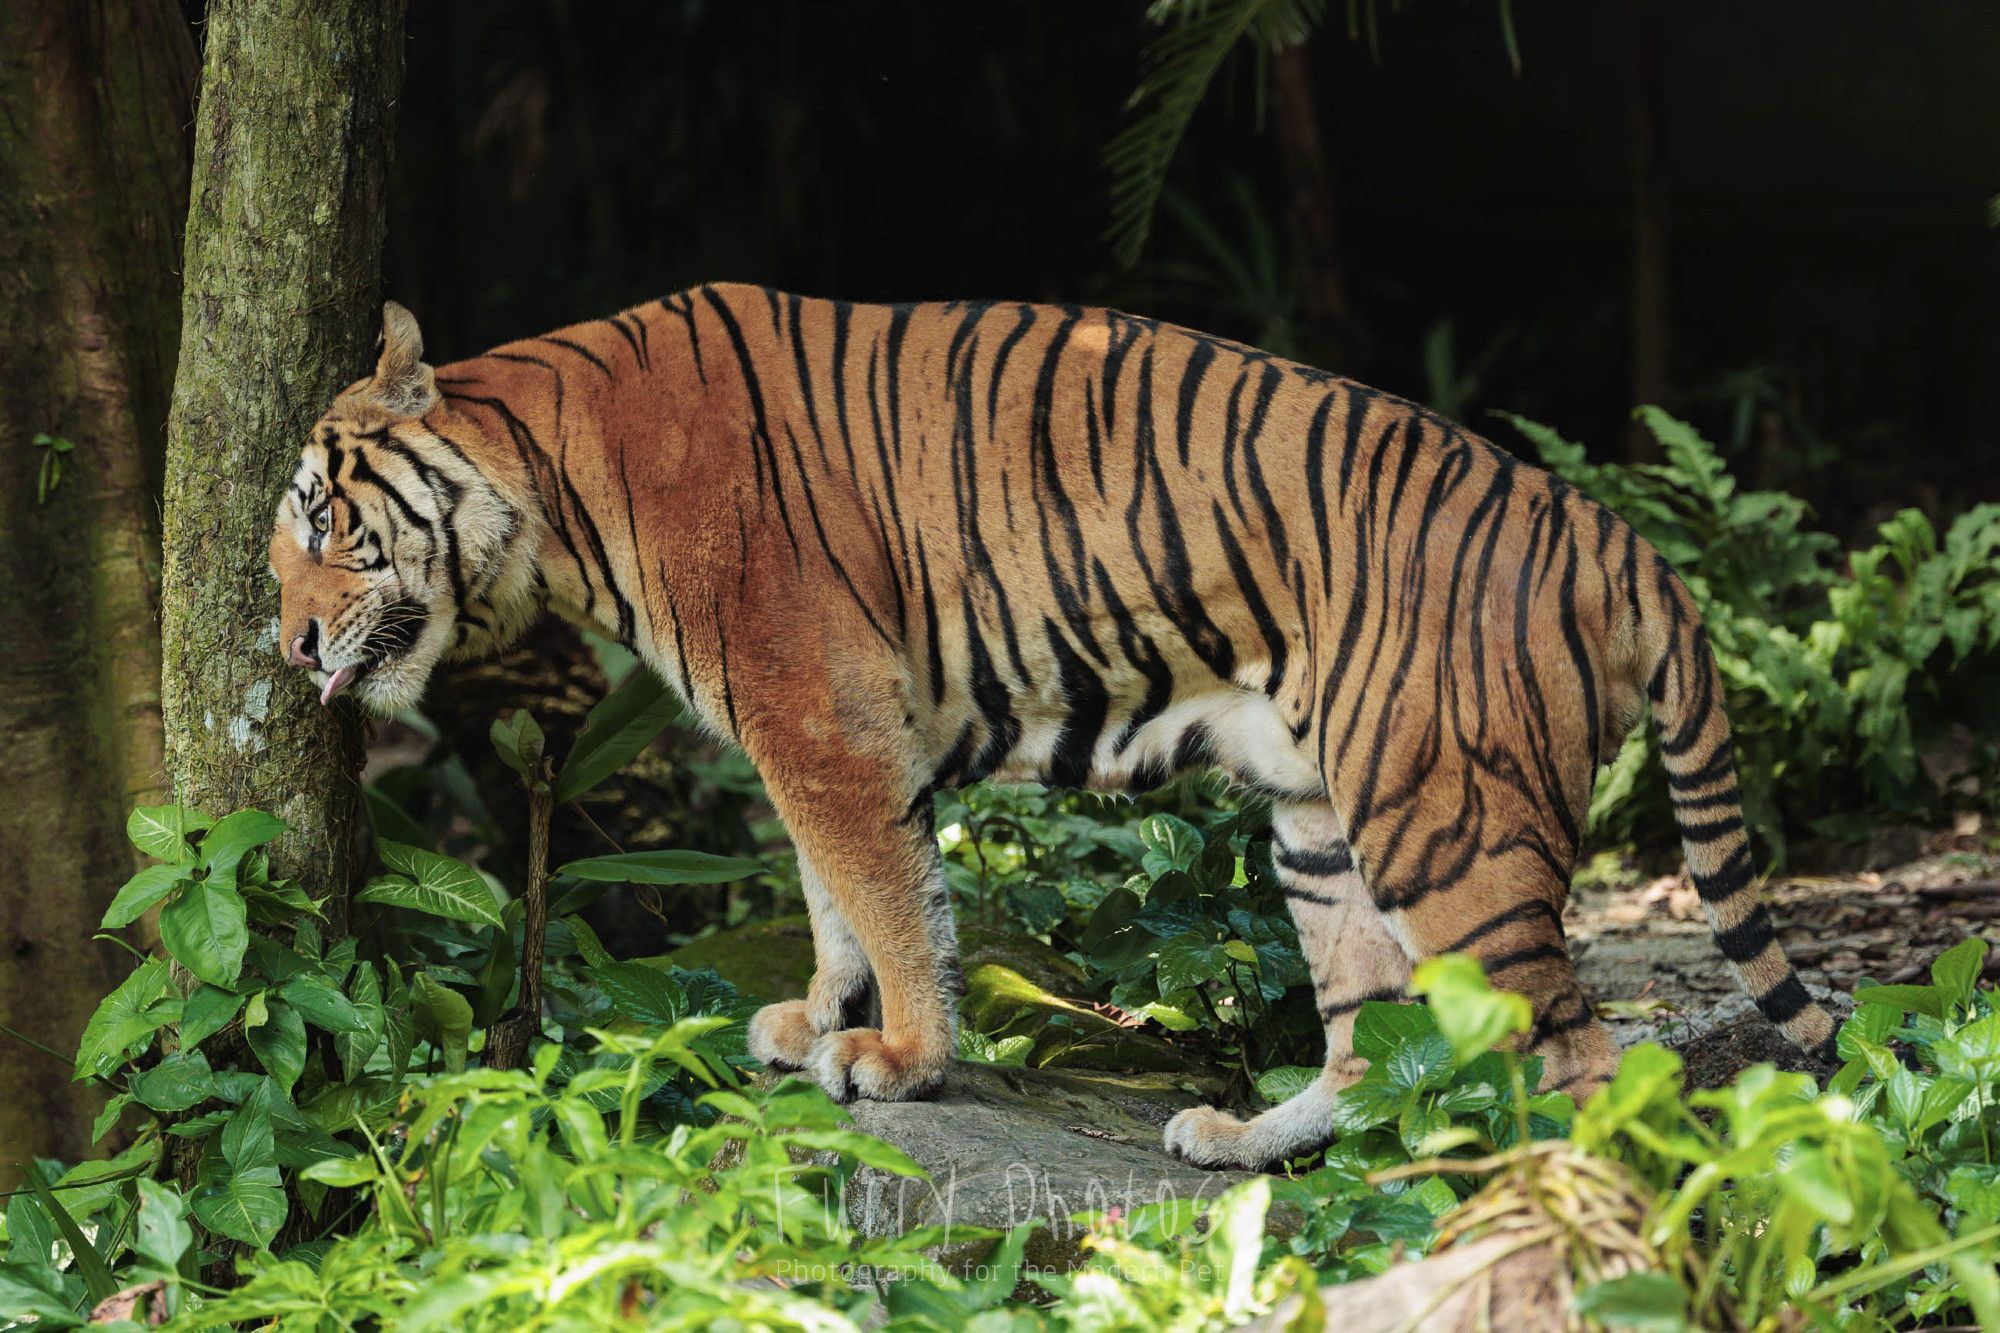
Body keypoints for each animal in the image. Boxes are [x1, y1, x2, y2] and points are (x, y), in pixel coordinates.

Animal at [274, 282, 1832, 1160]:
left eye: (324, 521)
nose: (284, 646)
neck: (545, 481)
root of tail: (1618, 540)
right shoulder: (808, 726)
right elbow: (833, 893)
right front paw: (813, 1019)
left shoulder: (819, 714)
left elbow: (886, 892)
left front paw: (898, 1058)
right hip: (1323, 825)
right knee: (1370, 1031)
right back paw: (1257, 1143)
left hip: (1446, 821)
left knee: (1578, 1059)